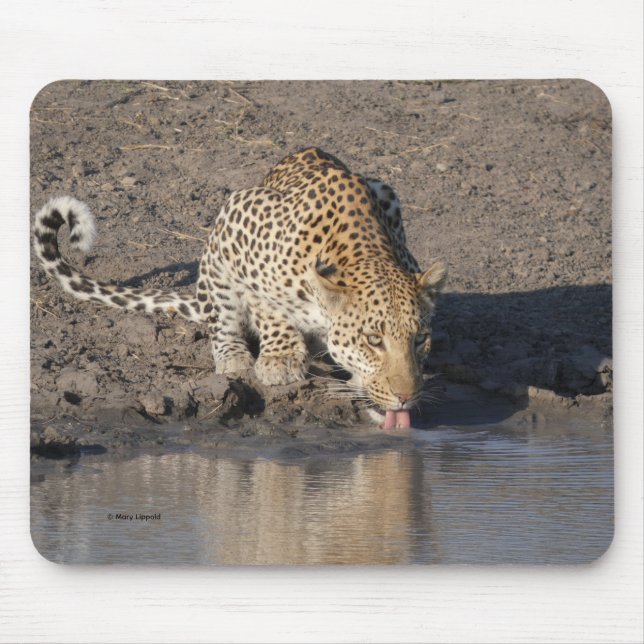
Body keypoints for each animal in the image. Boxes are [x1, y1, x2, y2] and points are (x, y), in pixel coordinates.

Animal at [33, 147, 447, 429]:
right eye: (373, 341)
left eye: (420, 339)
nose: (406, 397)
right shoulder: (237, 219)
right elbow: (267, 306)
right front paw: (280, 358)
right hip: (216, 257)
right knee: (221, 316)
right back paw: (235, 355)